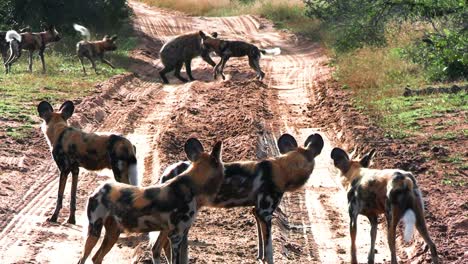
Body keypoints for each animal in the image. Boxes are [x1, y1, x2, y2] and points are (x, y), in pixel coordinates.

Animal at [78, 138, 225, 264]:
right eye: (224, 168)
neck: (192, 186)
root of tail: (99, 189)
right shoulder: (176, 236)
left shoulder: (168, 232)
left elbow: (157, 250)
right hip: (94, 232)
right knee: (82, 259)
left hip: (113, 234)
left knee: (96, 258)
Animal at [155, 133, 324, 264]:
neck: (283, 168)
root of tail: (167, 172)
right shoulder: (265, 212)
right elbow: (270, 251)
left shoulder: (257, 212)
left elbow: (262, 246)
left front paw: (259, 257)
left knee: (162, 246)